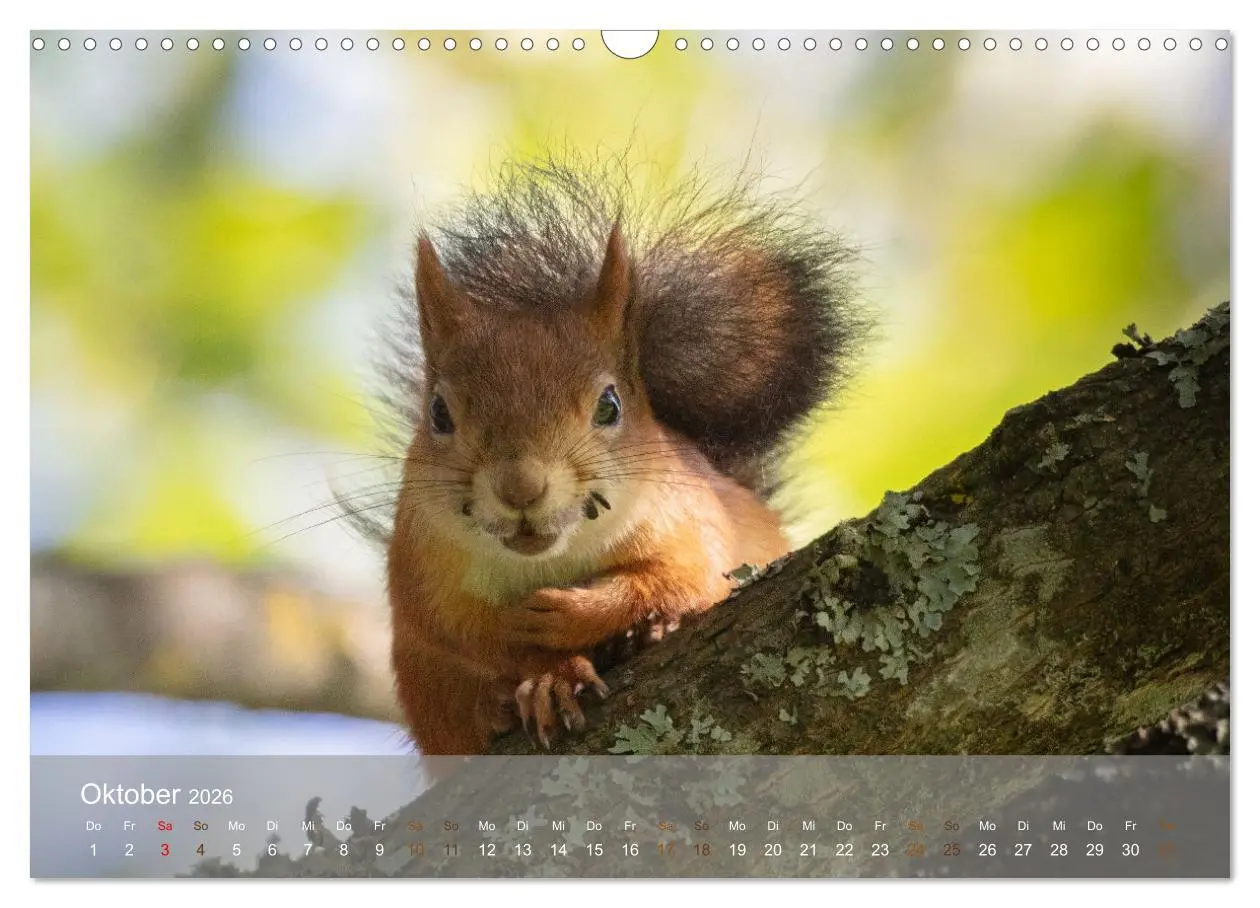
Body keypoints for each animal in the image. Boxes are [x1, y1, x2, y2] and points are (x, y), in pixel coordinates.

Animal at [365, 155, 869, 755]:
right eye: (439, 413)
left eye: (610, 405)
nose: (520, 488)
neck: (551, 558)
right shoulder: (423, 575)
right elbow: (471, 635)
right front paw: (549, 674)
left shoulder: (693, 520)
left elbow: (682, 577)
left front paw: (580, 614)